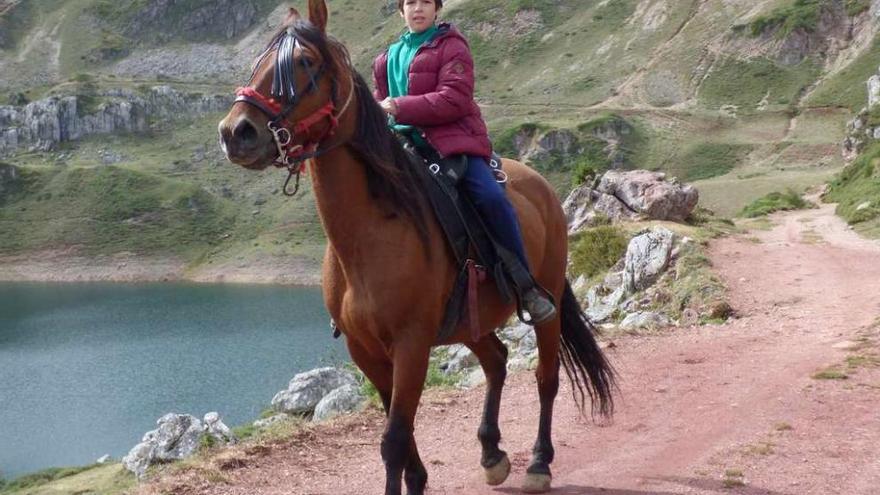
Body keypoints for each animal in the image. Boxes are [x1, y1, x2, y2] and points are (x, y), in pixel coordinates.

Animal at [220, 1, 616, 494]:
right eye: (259, 60)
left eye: (304, 63)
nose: (236, 132)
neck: (369, 236)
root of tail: (540, 186)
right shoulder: (366, 351)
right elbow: (401, 430)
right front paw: (419, 479)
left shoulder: (411, 344)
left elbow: (393, 438)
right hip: (470, 322)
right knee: (497, 362)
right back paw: (491, 453)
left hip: (547, 305)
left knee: (546, 378)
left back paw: (539, 463)